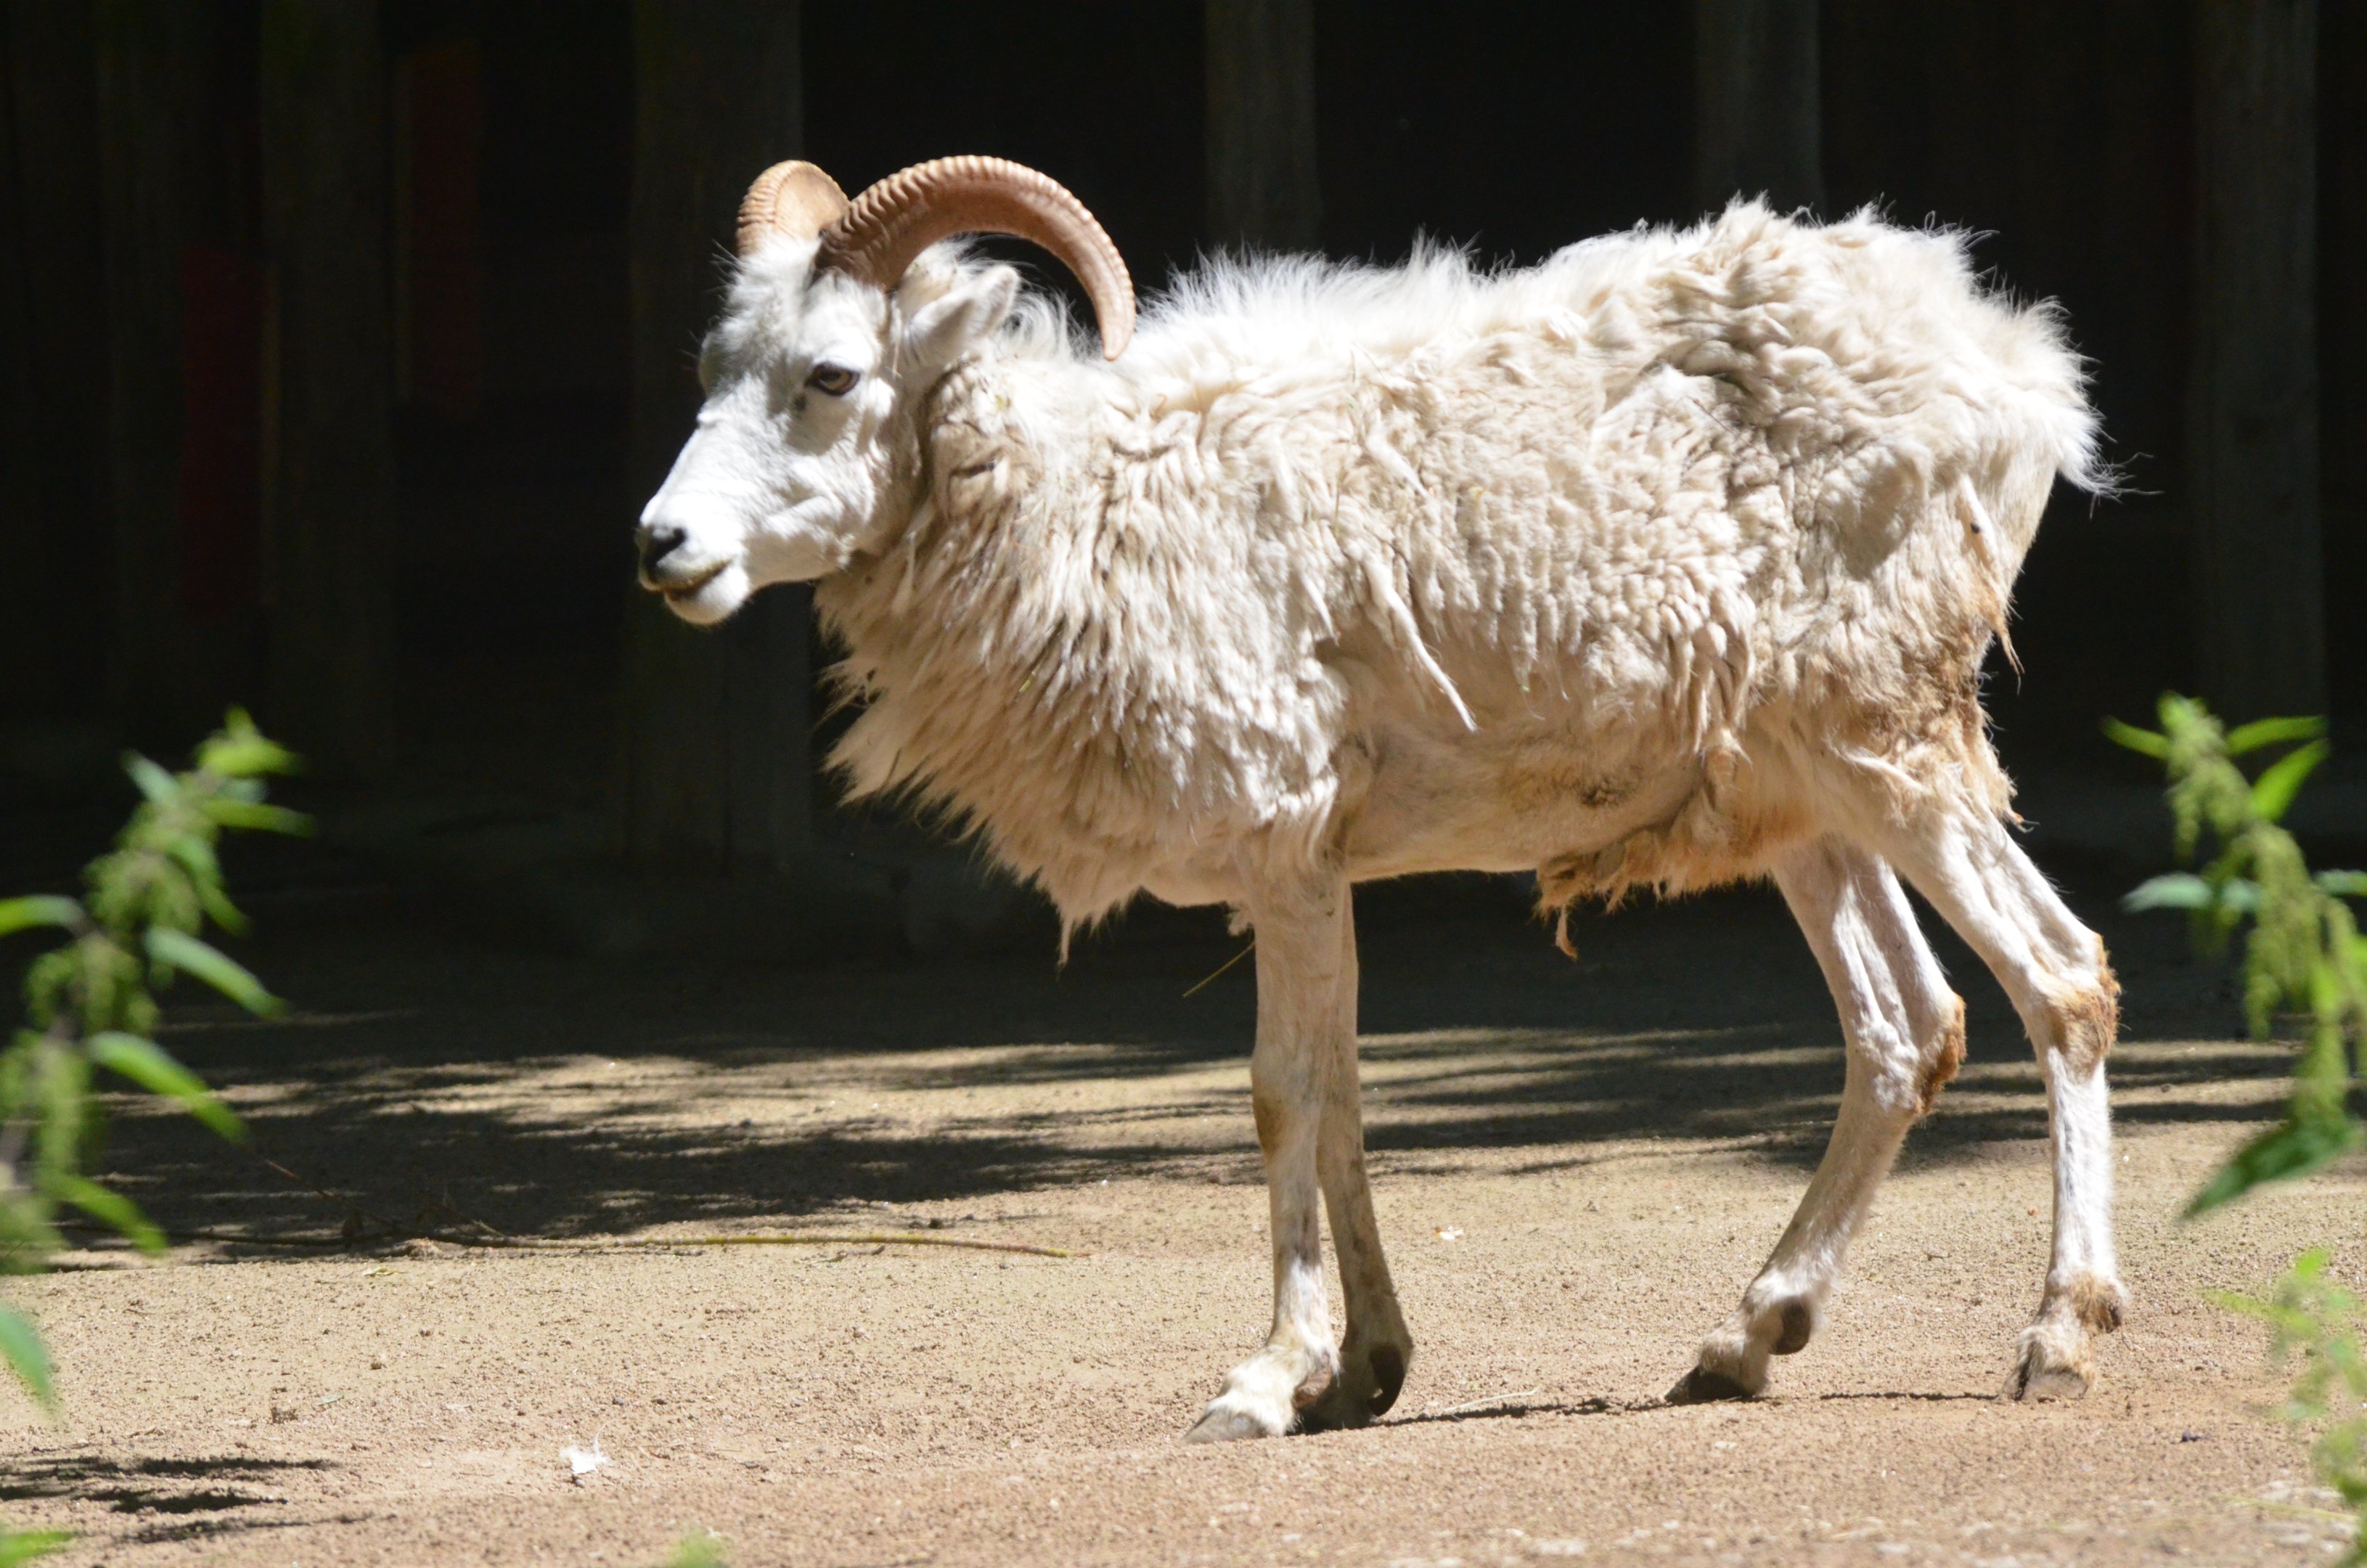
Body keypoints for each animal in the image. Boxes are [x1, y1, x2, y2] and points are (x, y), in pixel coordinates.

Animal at [636, 156, 2125, 1440]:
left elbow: (1282, 1094)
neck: (1097, 503)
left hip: (1895, 741)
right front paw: (1365, 1370)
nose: (665, 546)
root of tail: (2020, 377)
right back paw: (1743, 1340)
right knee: (1904, 1029)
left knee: (2059, 979)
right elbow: (1345, 1093)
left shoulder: (1281, 847)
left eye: (832, 374)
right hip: (1807, 799)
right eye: (713, 370)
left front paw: (1260, 1383)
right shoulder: (1313, 870)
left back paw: (2058, 1337)